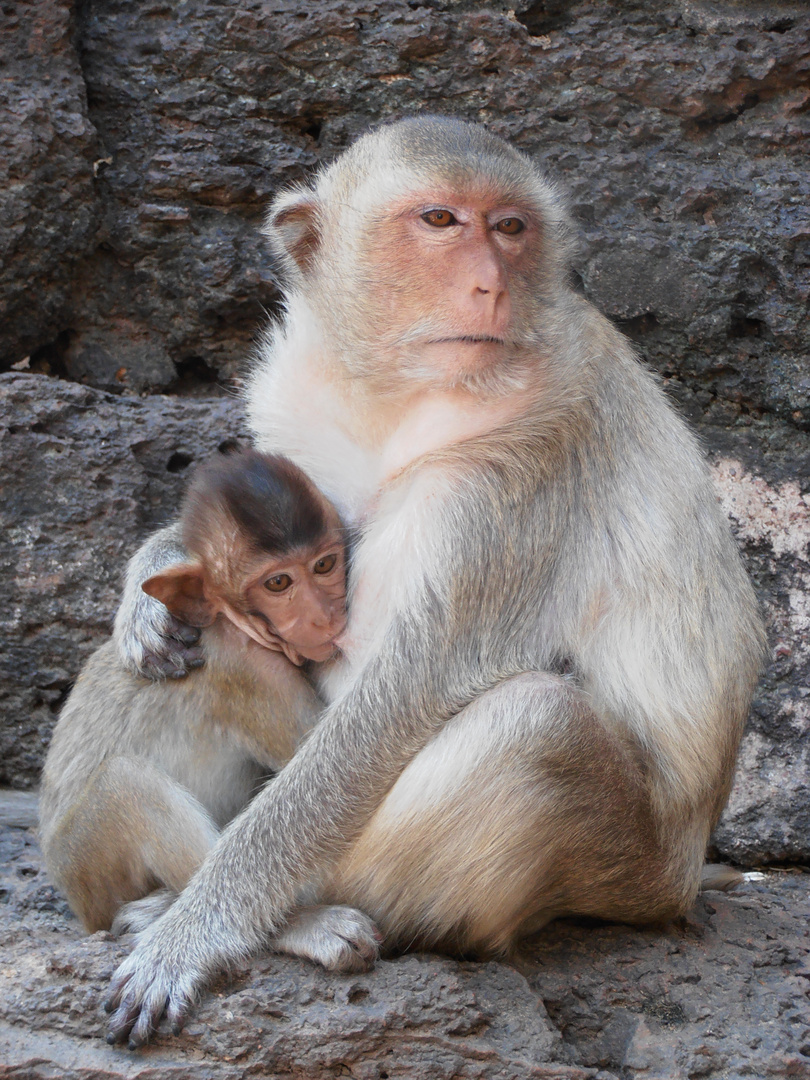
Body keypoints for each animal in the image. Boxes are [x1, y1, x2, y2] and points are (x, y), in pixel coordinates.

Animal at [39, 449, 347, 937]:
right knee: (127, 785)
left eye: (323, 565)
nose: (324, 615)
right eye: (278, 584)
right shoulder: (244, 667)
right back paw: (299, 924)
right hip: (86, 869)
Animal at [104, 118, 764, 1045]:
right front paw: (152, 581)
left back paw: (283, 917)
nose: (490, 284)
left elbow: (396, 690)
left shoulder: (514, 480)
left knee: (539, 723)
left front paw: (198, 930)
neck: (397, 392)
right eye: (441, 220)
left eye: (511, 228)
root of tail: (686, 872)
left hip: (627, 866)